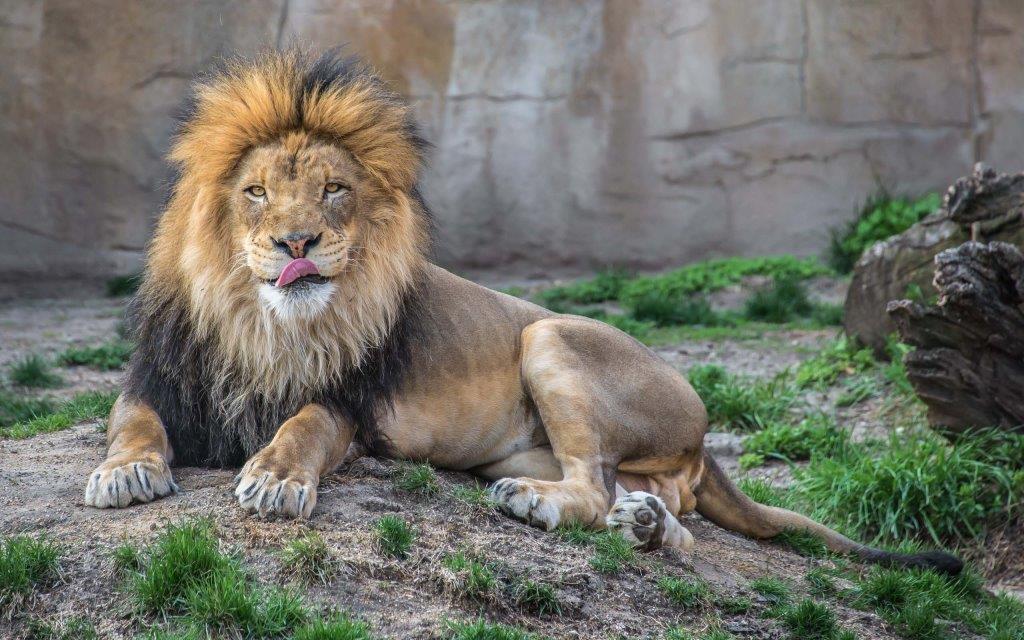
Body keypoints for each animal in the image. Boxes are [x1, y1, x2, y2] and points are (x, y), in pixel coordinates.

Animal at [83, 49, 960, 574]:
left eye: (333, 189)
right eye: (257, 191)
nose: (297, 240)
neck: (265, 322)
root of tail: (707, 436)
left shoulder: (349, 406)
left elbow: (302, 427)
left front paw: (271, 480)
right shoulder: (160, 378)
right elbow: (131, 424)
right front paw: (124, 474)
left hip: (548, 334)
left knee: (591, 489)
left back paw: (552, 509)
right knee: (650, 506)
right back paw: (646, 526)